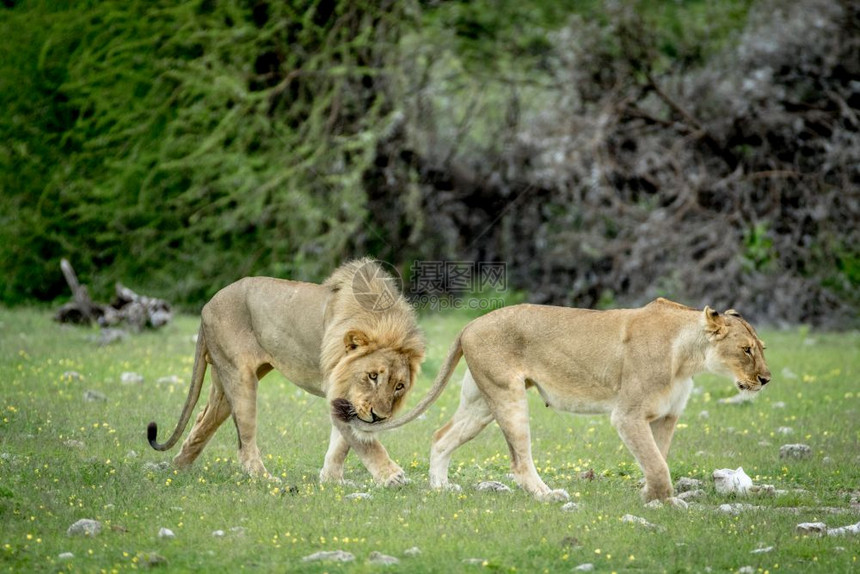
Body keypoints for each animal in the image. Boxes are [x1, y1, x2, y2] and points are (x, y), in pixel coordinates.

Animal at [153, 260, 428, 486]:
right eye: (372, 376)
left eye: (399, 386)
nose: (378, 417)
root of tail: (208, 305)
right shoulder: (337, 390)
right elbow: (364, 443)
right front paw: (391, 476)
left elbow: (341, 444)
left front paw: (332, 480)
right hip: (241, 378)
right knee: (245, 442)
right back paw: (264, 478)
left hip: (224, 380)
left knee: (203, 421)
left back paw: (177, 468)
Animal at [352, 300, 768, 502]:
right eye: (746, 350)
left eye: (761, 348)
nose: (766, 379)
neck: (688, 357)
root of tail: (470, 323)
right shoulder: (628, 415)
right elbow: (657, 464)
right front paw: (666, 502)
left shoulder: (665, 416)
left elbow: (658, 461)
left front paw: (650, 497)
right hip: (508, 396)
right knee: (519, 462)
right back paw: (547, 495)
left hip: (481, 402)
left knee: (441, 437)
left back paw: (441, 489)